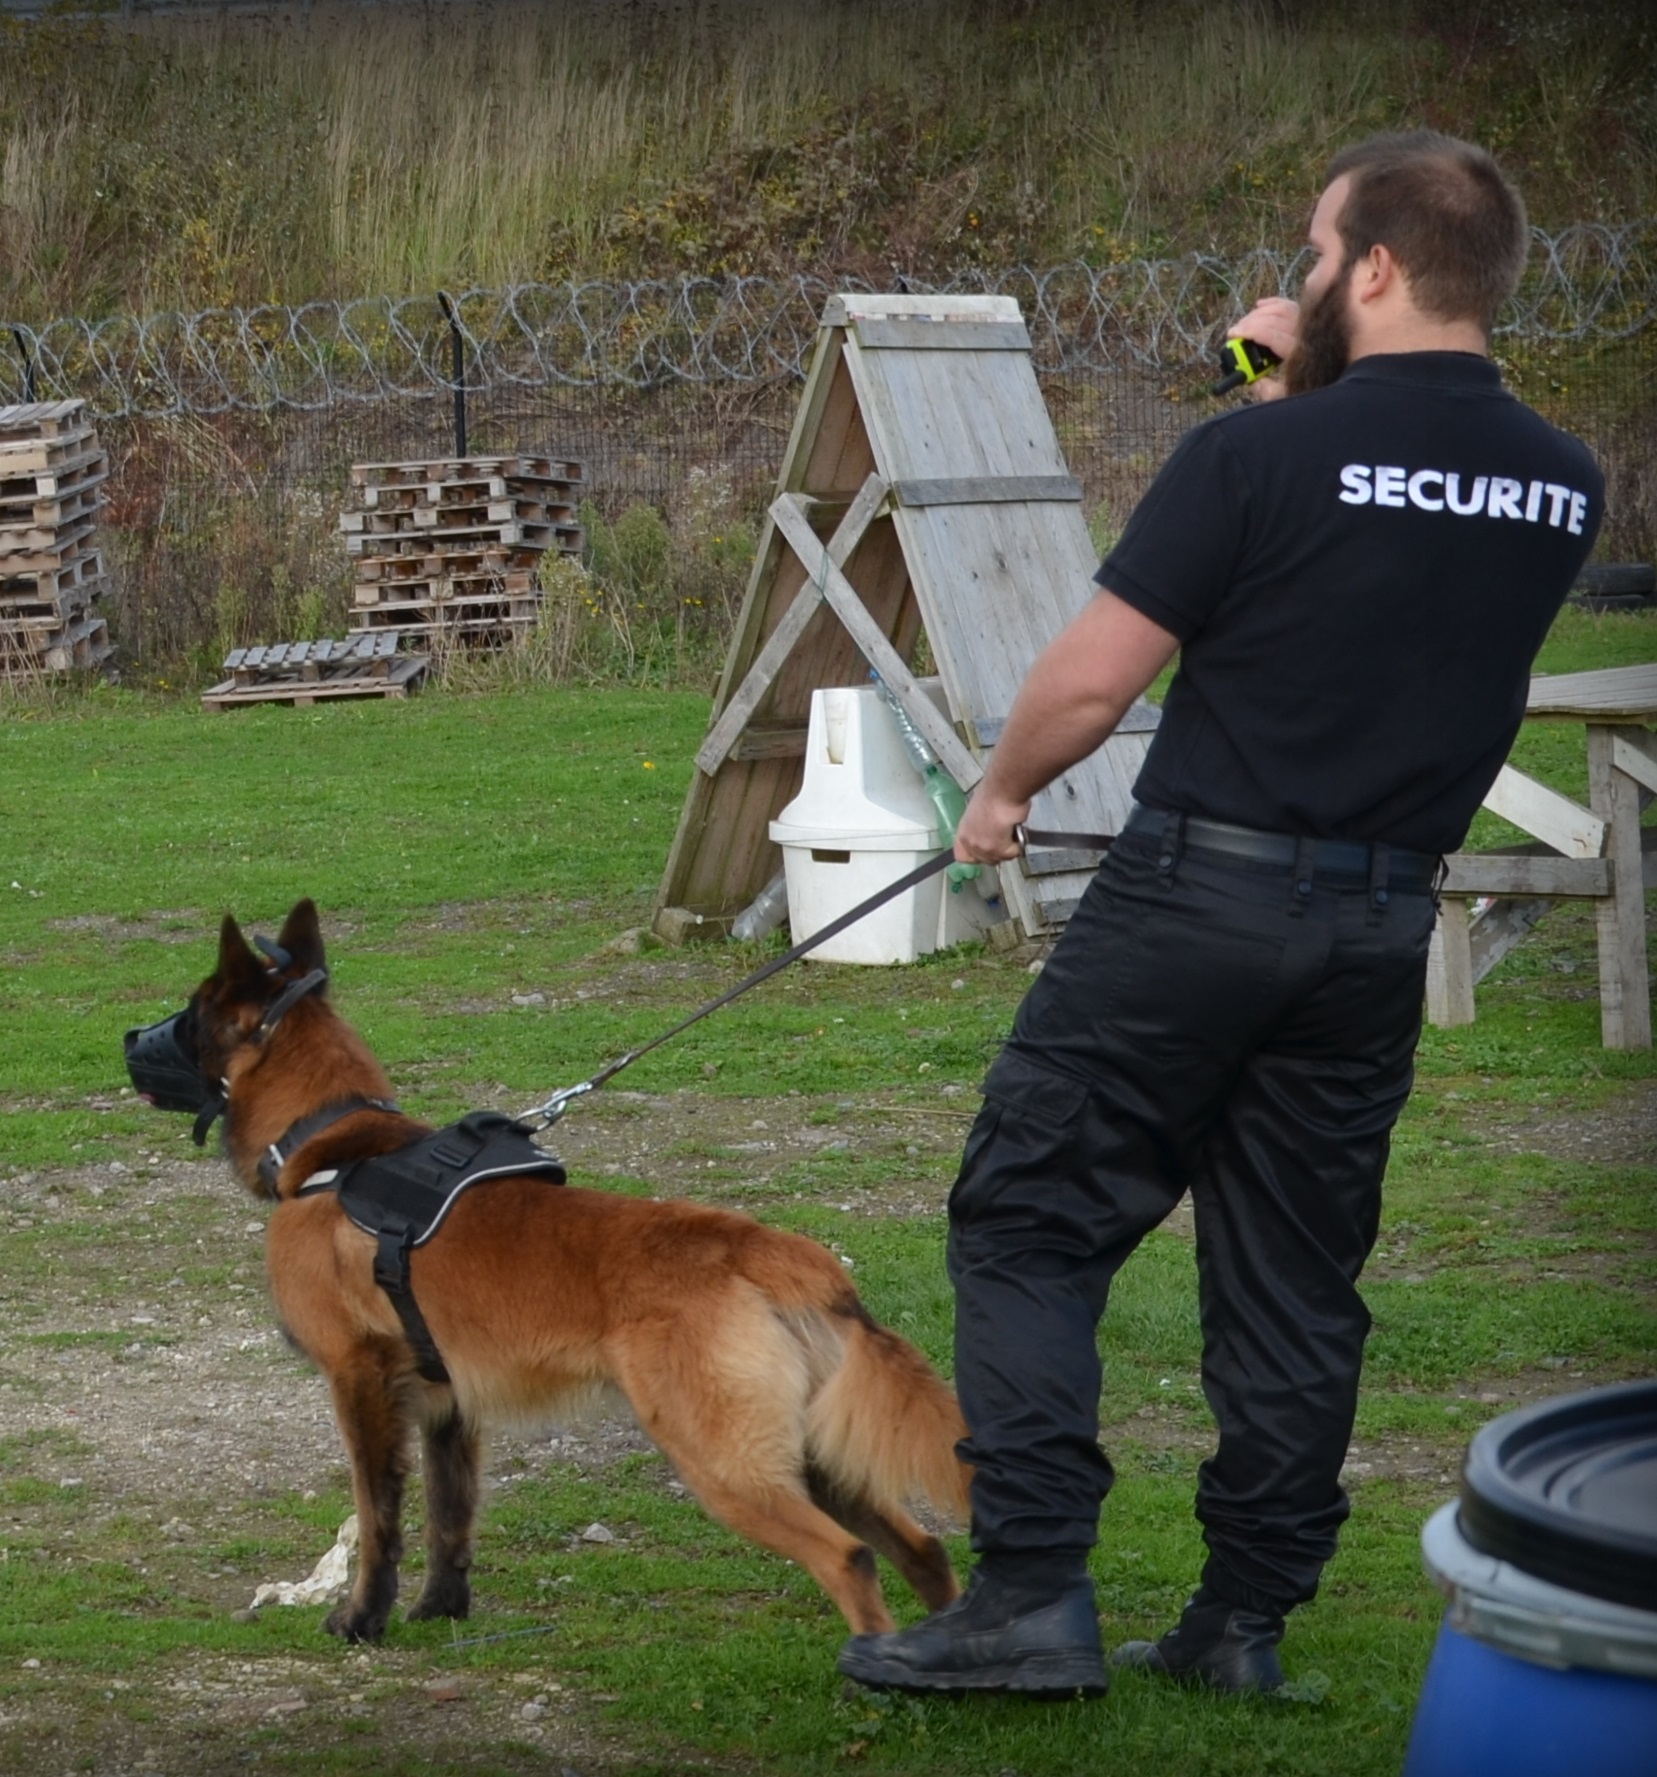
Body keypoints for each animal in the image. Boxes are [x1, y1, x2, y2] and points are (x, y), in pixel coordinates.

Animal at [165, 895, 974, 1641]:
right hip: (814, 1456)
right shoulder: (448, 1406)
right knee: (923, 1549)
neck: (333, 1145)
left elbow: (378, 1519)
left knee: (849, 1558)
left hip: (726, 1465)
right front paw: (439, 1611)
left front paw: (363, 1618)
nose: (137, 1035)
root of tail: (766, 1250)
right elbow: (449, 1519)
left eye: (191, 1014)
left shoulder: (358, 1381)